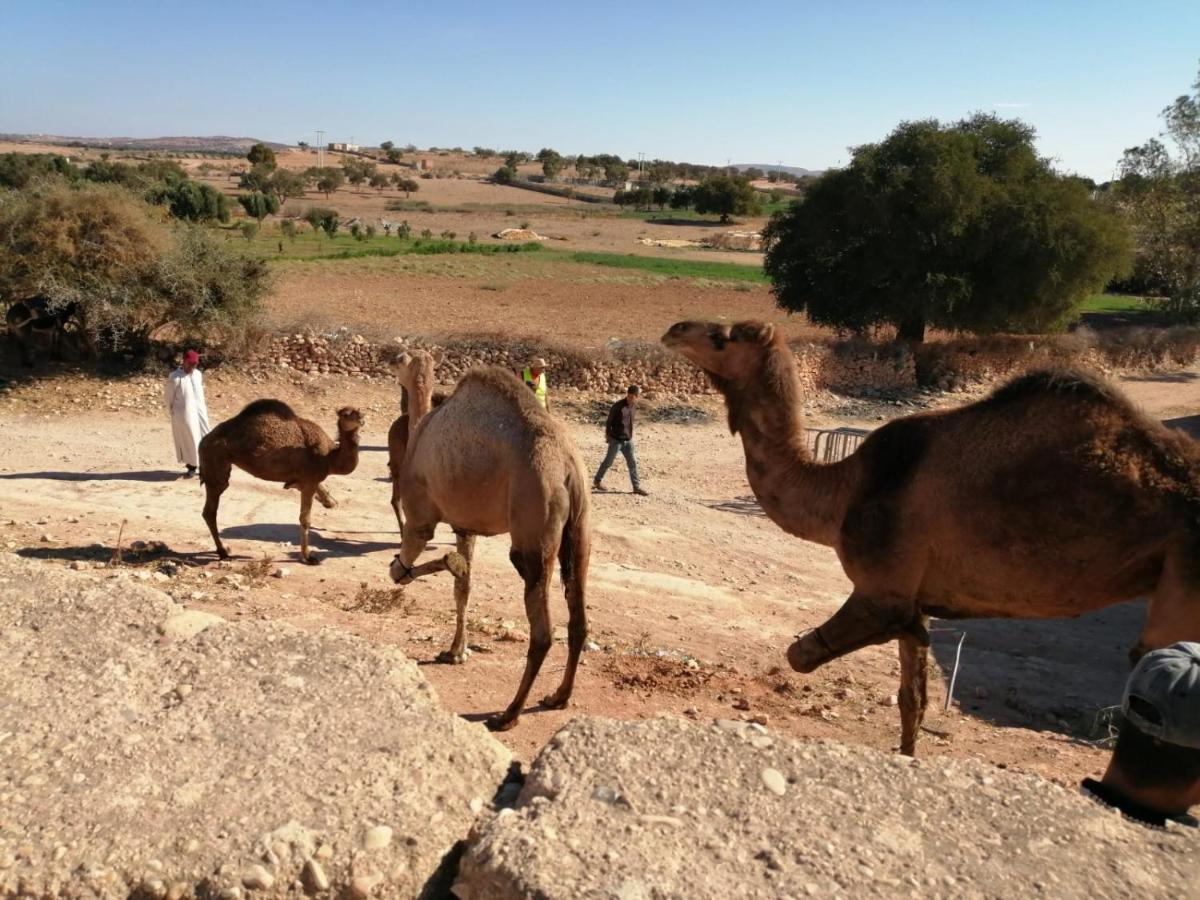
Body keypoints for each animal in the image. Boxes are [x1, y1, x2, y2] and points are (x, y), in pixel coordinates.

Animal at [201, 400, 362, 564]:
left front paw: (329, 502)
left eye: (359, 411)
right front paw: (308, 557)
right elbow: (305, 519)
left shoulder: (303, 481)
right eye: (346, 414)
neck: (329, 457)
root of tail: (205, 439)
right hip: (216, 460)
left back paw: (222, 551)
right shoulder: (309, 480)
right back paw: (223, 551)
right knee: (211, 508)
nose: (361, 419)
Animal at [388, 367, 590, 734]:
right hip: (581, 530)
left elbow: (402, 570)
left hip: (532, 523)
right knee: (578, 617)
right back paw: (558, 697)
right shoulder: (465, 525)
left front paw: (440, 563)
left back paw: (508, 714)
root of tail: (567, 466)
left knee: (542, 631)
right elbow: (462, 587)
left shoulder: (420, 514)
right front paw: (455, 652)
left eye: (399, 362)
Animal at [662, 321, 1200, 758]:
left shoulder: (883, 590)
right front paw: (907, 753)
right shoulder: (913, 599)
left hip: (1185, 579)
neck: (843, 491)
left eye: (724, 337)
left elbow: (802, 656)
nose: (673, 330)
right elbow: (912, 699)